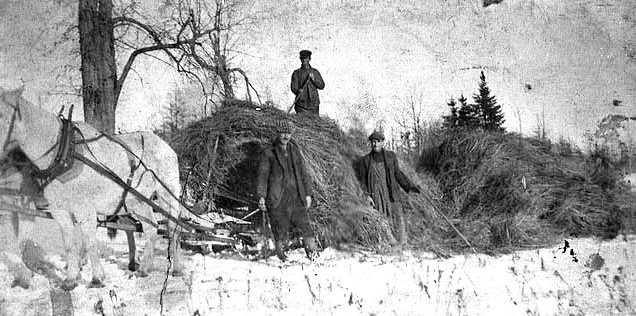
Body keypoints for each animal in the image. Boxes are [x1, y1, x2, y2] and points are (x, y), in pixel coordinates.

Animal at [1, 86, 186, 288]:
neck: (62, 153)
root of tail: (164, 144)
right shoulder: (59, 211)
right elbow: (70, 245)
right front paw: (70, 279)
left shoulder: (85, 209)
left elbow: (90, 242)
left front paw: (97, 278)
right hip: (137, 201)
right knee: (151, 228)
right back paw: (144, 268)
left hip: (166, 193)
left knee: (173, 227)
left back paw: (176, 267)